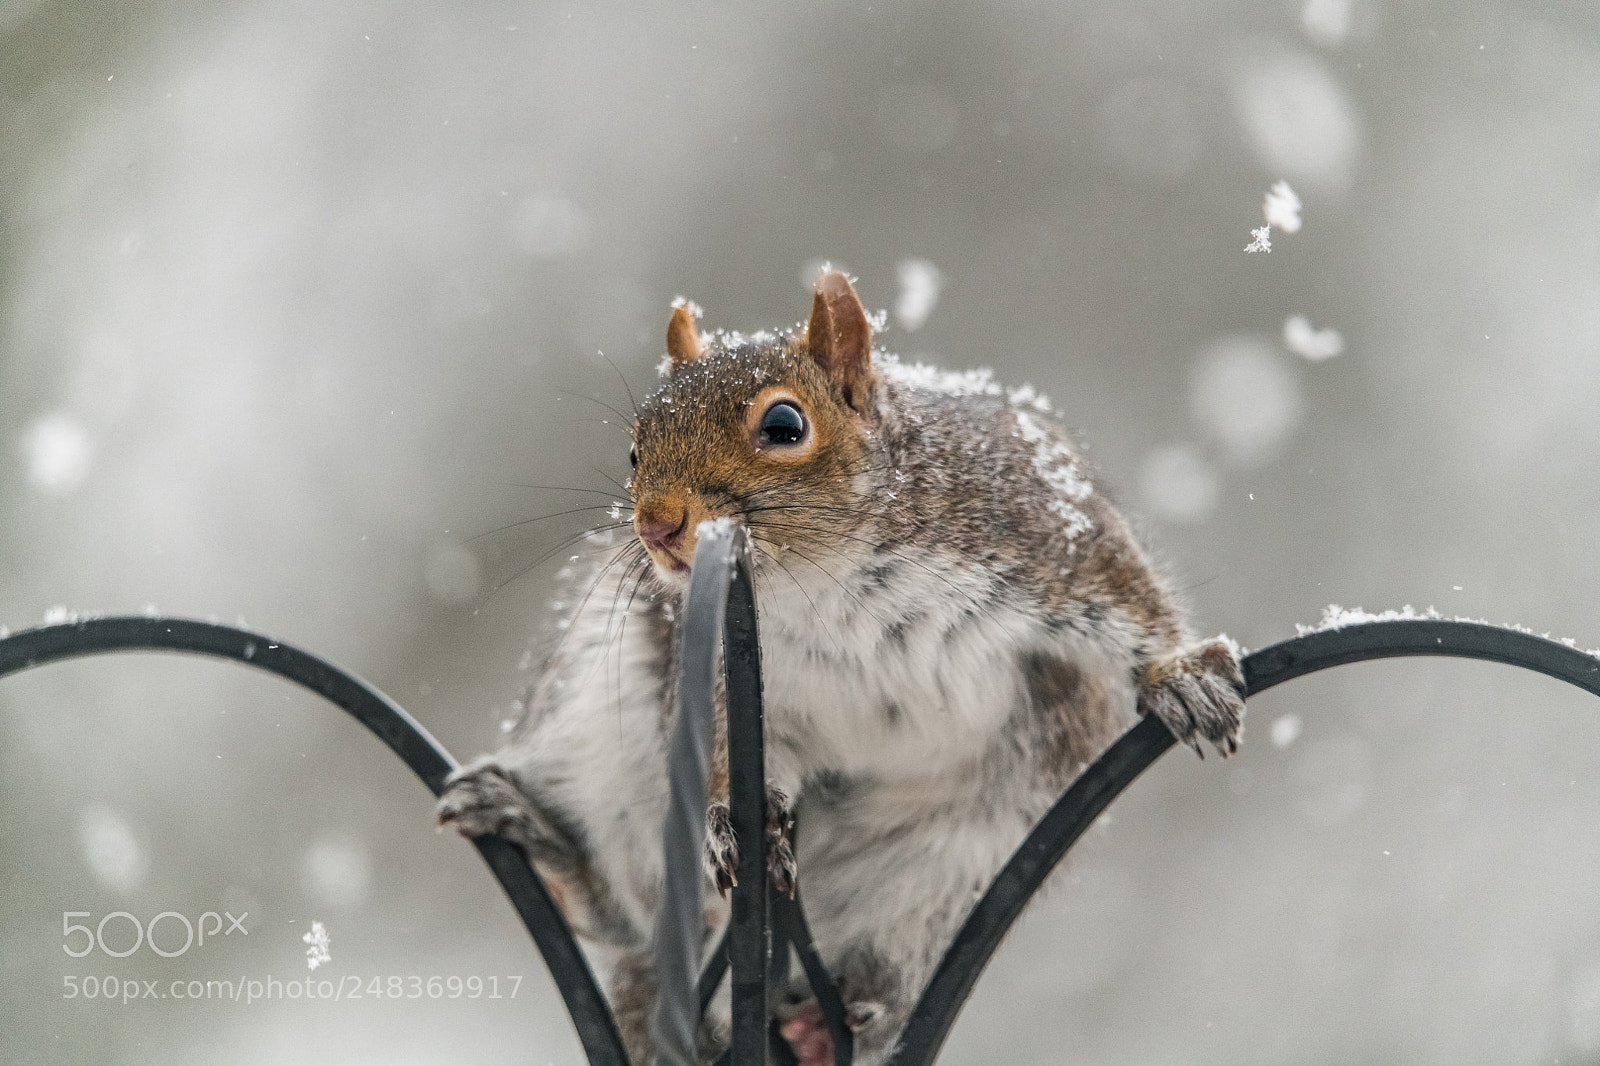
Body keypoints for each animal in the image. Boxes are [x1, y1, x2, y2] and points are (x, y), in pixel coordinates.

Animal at [436, 268, 1246, 1066]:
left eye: (784, 428)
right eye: (635, 451)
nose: (656, 525)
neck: (827, 577)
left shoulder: (1042, 534)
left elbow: (1132, 606)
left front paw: (1183, 675)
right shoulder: (731, 671)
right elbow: (729, 747)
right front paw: (737, 819)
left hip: (959, 863)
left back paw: (852, 1017)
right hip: (600, 745)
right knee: (619, 918)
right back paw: (541, 837)